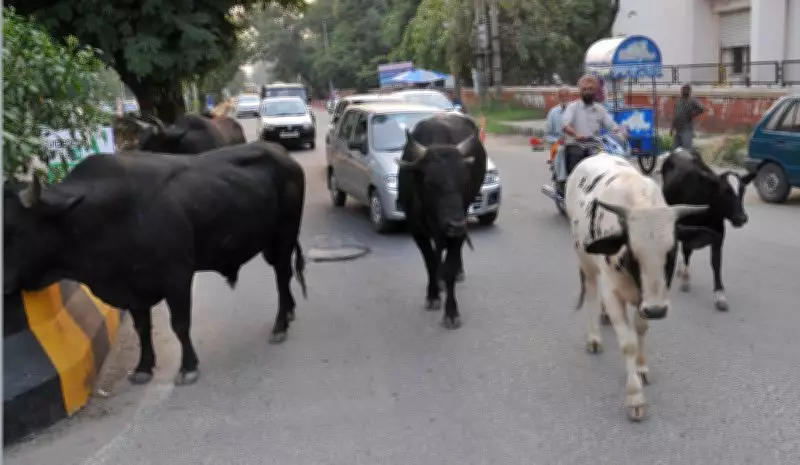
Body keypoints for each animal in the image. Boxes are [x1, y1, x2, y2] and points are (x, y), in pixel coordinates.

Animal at [3, 141, 307, 386]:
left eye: (17, 231)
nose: (4, 283)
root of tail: (281, 153)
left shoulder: (178, 277)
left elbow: (180, 324)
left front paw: (188, 367)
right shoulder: (133, 289)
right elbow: (142, 328)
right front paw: (143, 367)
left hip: (284, 236)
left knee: (282, 276)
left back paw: (280, 326)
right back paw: (290, 312)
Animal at [396, 113, 487, 329]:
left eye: (464, 181)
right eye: (430, 182)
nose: (456, 224)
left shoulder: (459, 225)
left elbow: (449, 269)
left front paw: (451, 312)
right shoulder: (416, 231)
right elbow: (430, 262)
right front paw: (433, 294)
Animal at [566, 153, 718, 421]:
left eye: (671, 252)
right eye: (632, 253)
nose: (657, 310)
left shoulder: (646, 299)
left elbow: (641, 329)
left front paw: (641, 366)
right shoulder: (615, 293)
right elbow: (628, 343)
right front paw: (635, 397)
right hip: (585, 261)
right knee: (593, 295)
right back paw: (594, 337)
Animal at [661, 148, 755, 311]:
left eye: (742, 191)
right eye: (725, 191)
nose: (741, 218)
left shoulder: (718, 236)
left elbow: (716, 263)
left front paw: (720, 295)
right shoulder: (685, 232)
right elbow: (686, 252)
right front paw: (686, 279)